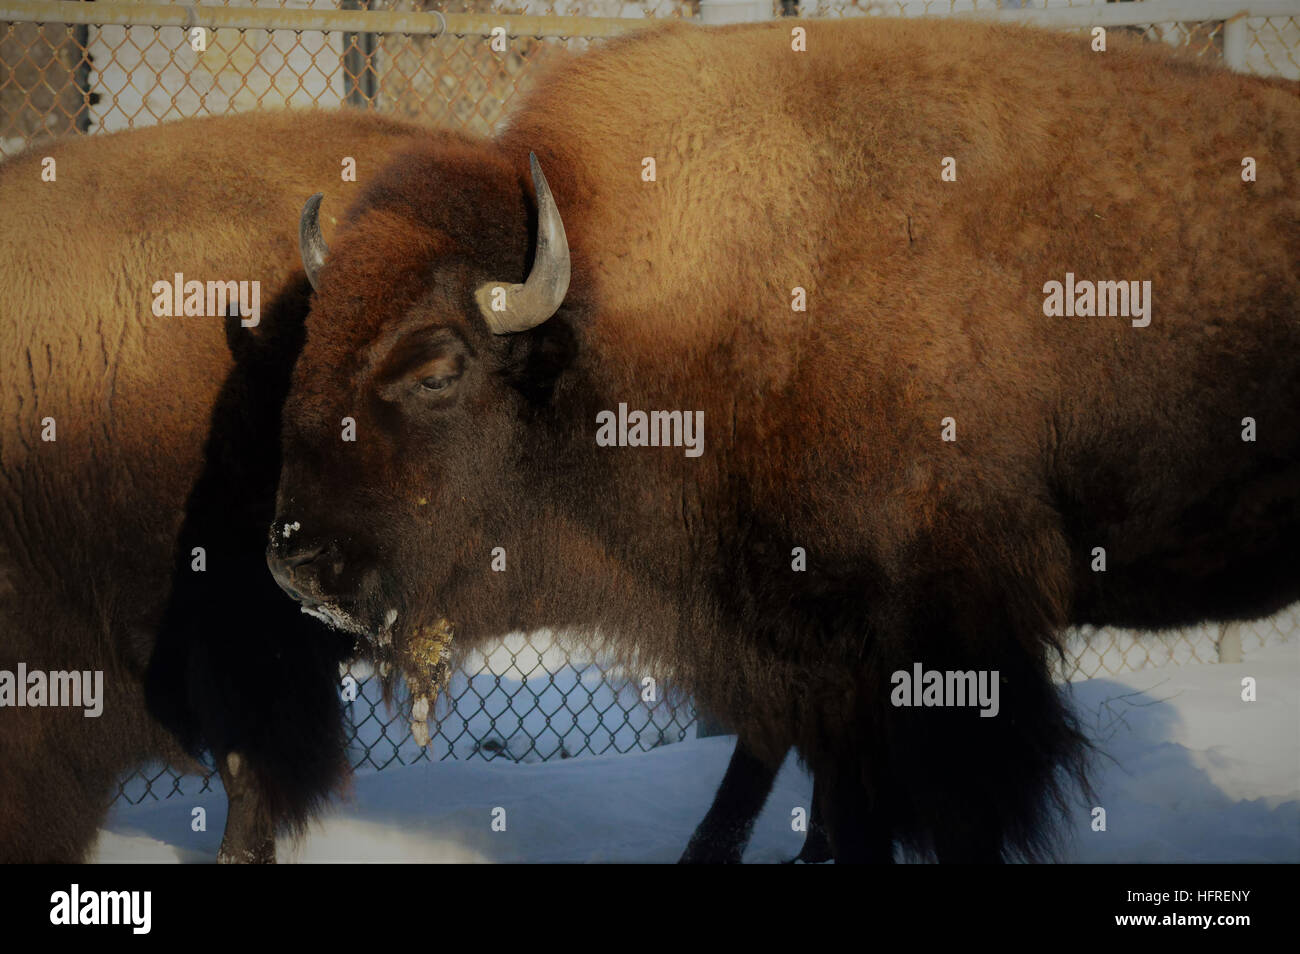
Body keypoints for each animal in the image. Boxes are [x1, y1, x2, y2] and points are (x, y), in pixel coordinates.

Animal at [269, 17, 1299, 862]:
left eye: (438, 369)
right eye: (310, 344)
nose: (295, 564)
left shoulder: (941, 652)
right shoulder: (807, 651)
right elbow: (818, 799)